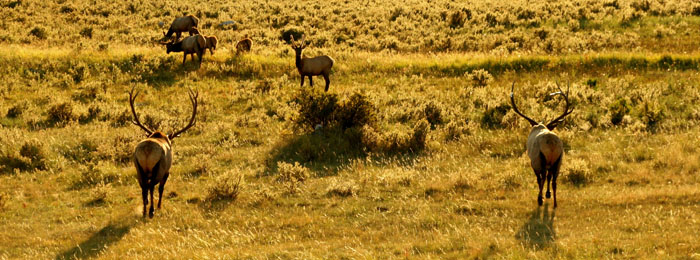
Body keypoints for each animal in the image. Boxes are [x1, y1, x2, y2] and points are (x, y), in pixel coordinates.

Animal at [128, 87, 198, 217]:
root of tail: (147, 150)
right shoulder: (167, 172)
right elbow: (161, 189)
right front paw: (159, 206)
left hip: (139, 169)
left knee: (144, 187)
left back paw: (144, 211)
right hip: (159, 168)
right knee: (151, 186)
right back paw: (151, 211)